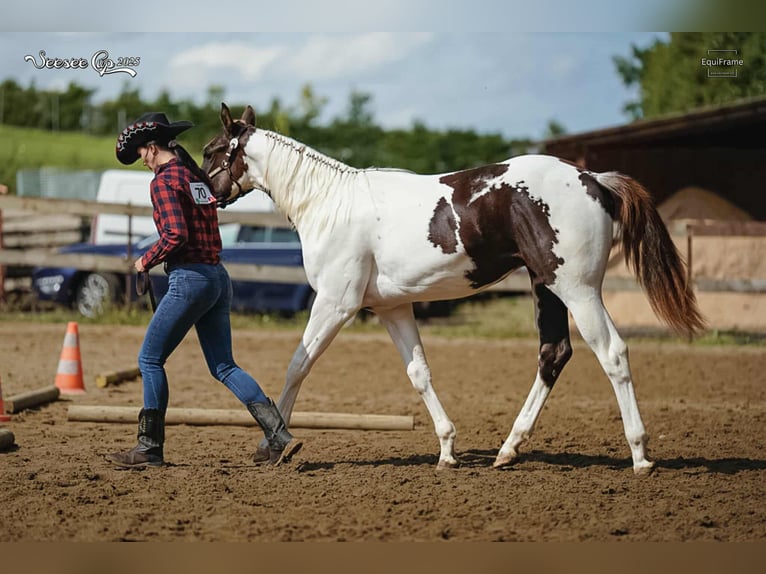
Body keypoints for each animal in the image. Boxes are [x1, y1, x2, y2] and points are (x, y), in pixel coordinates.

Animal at [202, 103, 705, 474]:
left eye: (211, 151)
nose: (201, 191)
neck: (329, 204)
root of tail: (594, 179)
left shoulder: (334, 304)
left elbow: (297, 366)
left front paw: (274, 445)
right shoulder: (392, 309)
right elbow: (419, 373)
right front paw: (447, 450)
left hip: (578, 289)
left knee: (612, 354)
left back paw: (640, 455)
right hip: (548, 287)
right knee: (553, 354)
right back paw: (508, 449)